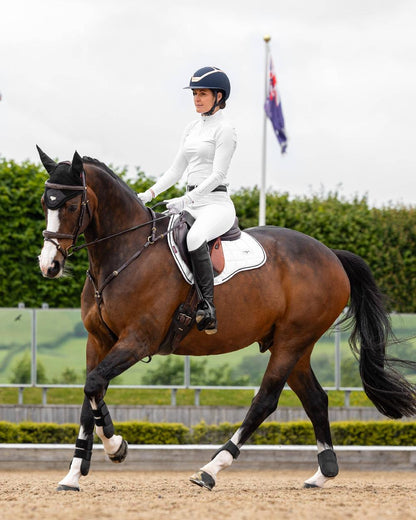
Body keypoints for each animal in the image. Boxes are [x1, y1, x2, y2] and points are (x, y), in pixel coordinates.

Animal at [38, 149, 416, 492]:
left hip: (292, 341)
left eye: (70, 206)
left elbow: (93, 386)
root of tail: (331, 255)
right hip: (294, 345)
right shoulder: (98, 341)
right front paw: (74, 474)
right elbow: (90, 395)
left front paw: (117, 448)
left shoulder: (137, 340)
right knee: (316, 399)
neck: (126, 252)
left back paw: (210, 470)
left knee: (265, 401)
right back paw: (323, 473)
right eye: (45, 203)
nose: (49, 265)